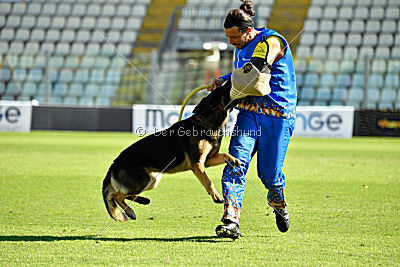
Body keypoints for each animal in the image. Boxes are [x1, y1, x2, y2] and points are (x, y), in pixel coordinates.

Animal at [103, 80, 241, 223]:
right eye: (223, 89)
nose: (229, 79)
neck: (206, 123)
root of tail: (115, 163)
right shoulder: (197, 164)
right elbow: (208, 181)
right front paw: (216, 196)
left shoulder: (207, 160)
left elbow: (224, 154)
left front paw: (234, 159)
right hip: (144, 180)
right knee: (116, 195)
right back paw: (130, 210)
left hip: (153, 180)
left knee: (123, 194)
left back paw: (142, 201)